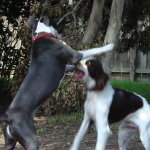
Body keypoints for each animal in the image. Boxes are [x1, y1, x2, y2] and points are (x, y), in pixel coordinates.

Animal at [0, 15, 113, 150]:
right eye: (54, 20)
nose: (66, 20)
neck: (41, 34)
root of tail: (8, 117)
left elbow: (69, 66)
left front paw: (74, 68)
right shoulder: (75, 55)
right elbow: (92, 50)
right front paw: (109, 46)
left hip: (10, 141)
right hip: (31, 140)